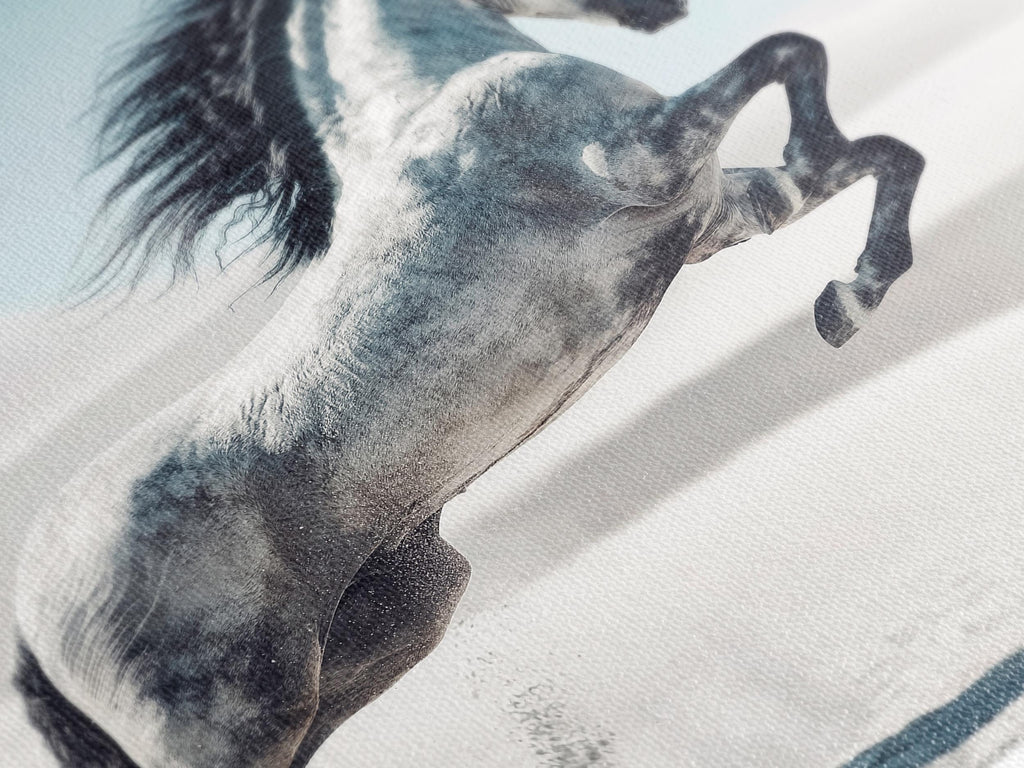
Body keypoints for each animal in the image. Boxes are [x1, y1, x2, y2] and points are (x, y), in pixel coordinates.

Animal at [12, 0, 924, 765]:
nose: (660, 11)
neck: (432, 96)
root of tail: (29, 618)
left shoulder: (714, 214)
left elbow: (883, 153)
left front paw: (847, 300)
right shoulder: (652, 154)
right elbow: (790, 52)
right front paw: (841, 255)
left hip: (396, 628)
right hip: (236, 724)